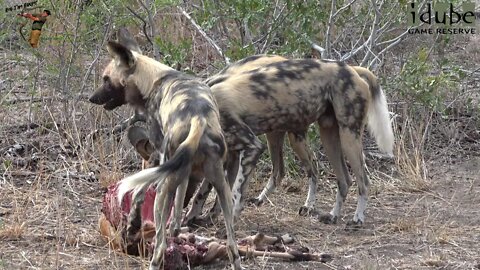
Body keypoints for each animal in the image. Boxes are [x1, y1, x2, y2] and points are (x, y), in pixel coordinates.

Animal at [87, 28, 240, 270]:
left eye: (106, 79)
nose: (91, 98)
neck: (154, 78)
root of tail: (199, 119)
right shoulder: (183, 171)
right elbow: (180, 200)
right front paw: (176, 228)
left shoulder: (156, 157)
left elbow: (138, 192)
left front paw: (133, 224)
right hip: (223, 190)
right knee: (233, 247)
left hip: (162, 187)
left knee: (159, 246)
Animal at [186, 54, 392, 226]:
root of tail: (351, 69)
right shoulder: (230, 156)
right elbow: (211, 192)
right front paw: (201, 217)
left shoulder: (247, 148)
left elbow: (228, 193)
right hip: (322, 137)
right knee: (342, 179)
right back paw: (332, 215)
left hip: (347, 136)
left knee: (362, 180)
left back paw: (356, 218)